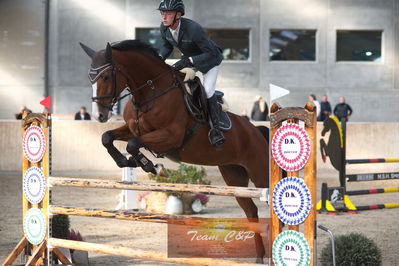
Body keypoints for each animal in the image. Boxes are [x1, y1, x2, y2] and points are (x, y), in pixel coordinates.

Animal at [80, 39, 270, 262]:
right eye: (90, 77)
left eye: (107, 76)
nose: (99, 115)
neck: (150, 92)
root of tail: (256, 130)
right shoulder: (132, 129)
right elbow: (108, 137)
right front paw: (127, 162)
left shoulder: (171, 135)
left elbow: (133, 144)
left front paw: (153, 166)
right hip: (234, 177)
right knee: (251, 211)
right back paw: (259, 257)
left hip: (259, 173)